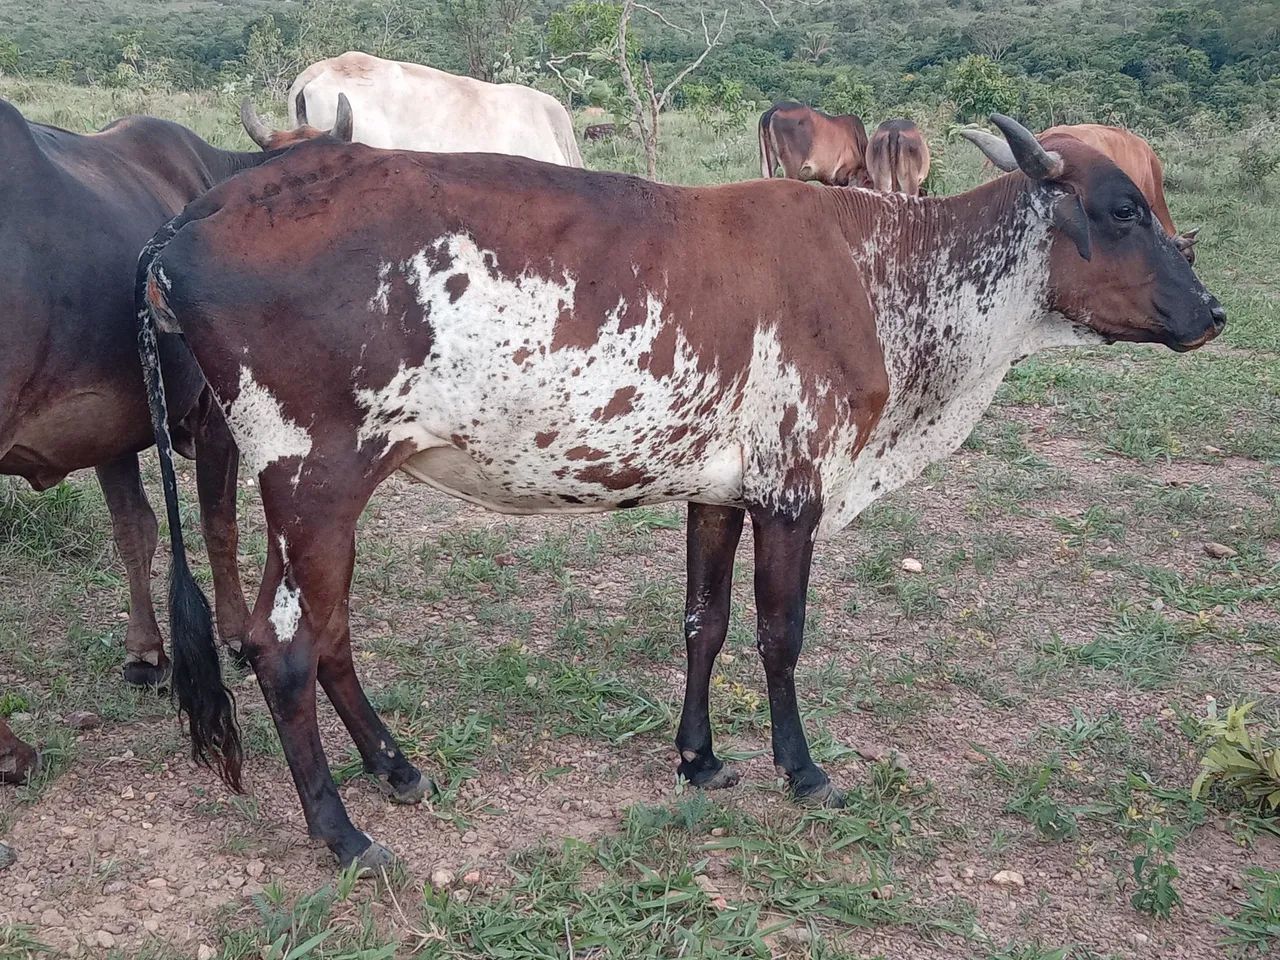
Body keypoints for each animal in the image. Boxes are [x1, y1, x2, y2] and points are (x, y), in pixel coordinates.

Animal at [0, 97, 354, 788]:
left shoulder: (104, 422)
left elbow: (134, 529)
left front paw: (146, 652)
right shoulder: (217, 416)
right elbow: (219, 523)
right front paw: (236, 632)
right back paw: (13, 752)